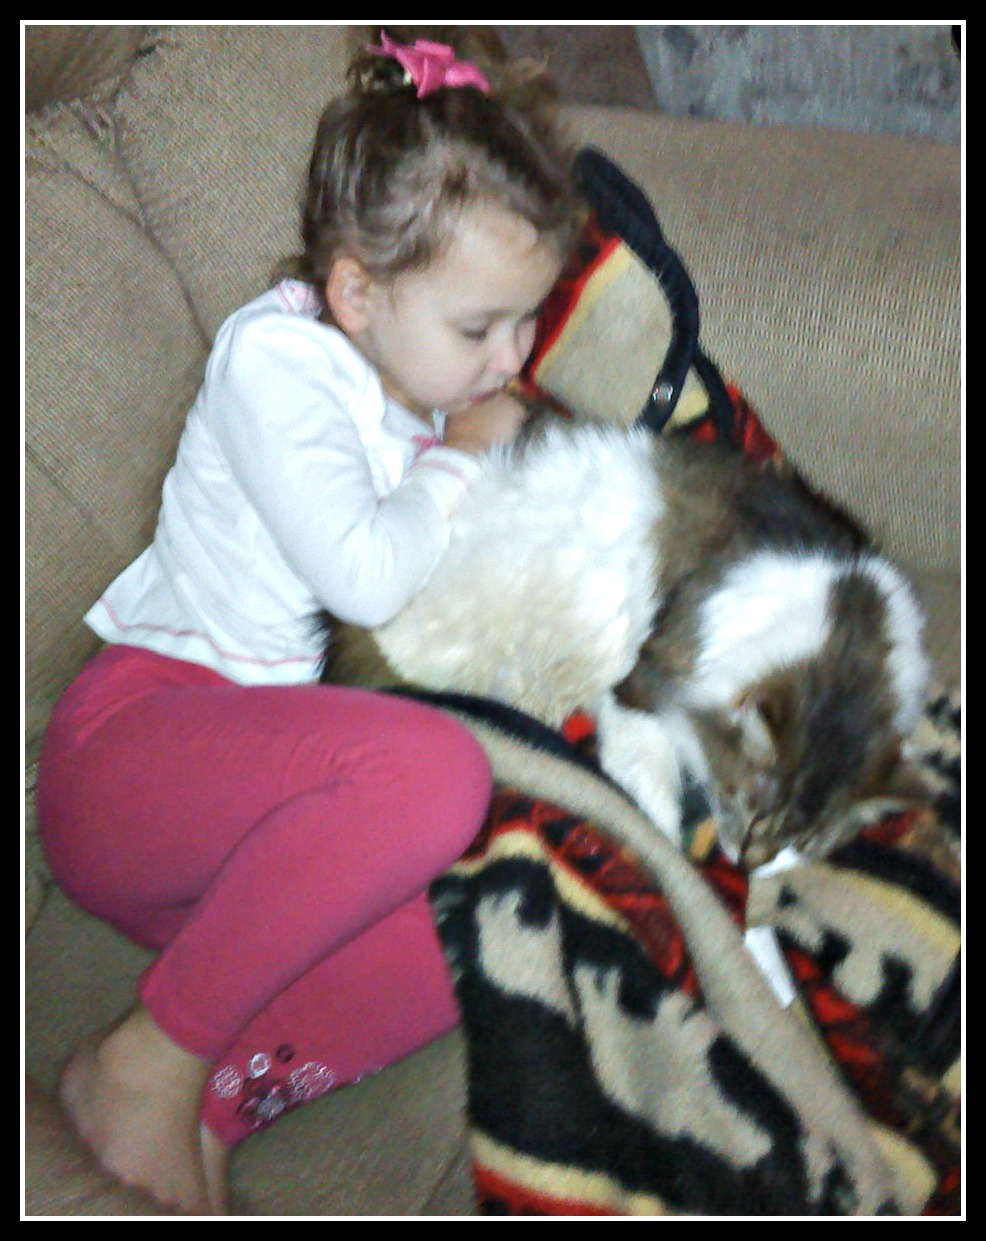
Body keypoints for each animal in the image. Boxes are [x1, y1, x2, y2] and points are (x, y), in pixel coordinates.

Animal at [320, 416, 931, 869]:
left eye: (802, 844)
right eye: (755, 815)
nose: (745, 864)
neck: (848, 636)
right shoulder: (645, 680)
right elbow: (652, 788)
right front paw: (663, 842)